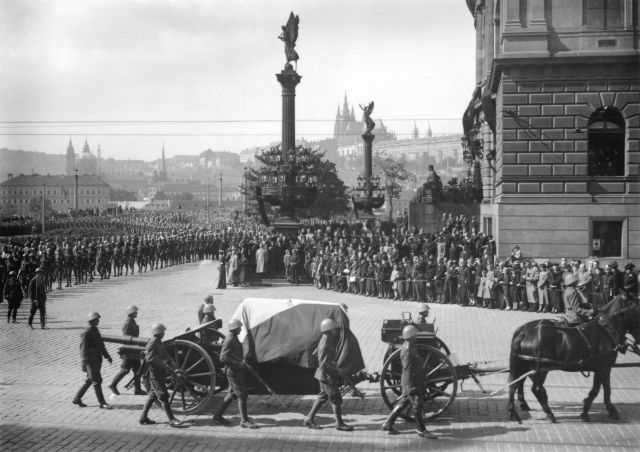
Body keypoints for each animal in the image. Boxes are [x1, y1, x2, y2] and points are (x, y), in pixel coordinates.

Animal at [510, 294, 640, 422]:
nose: (637, 343)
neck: (606, 330)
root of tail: (523, 331)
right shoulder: (602, 368)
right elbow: (598, 390)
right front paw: (587, 411)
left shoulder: (604, 368)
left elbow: (605, 389)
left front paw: (608, 409)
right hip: (540, 369)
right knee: (535, 388)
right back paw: (549, 413)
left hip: (524, 366)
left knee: (515, 383)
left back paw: (515, 411)